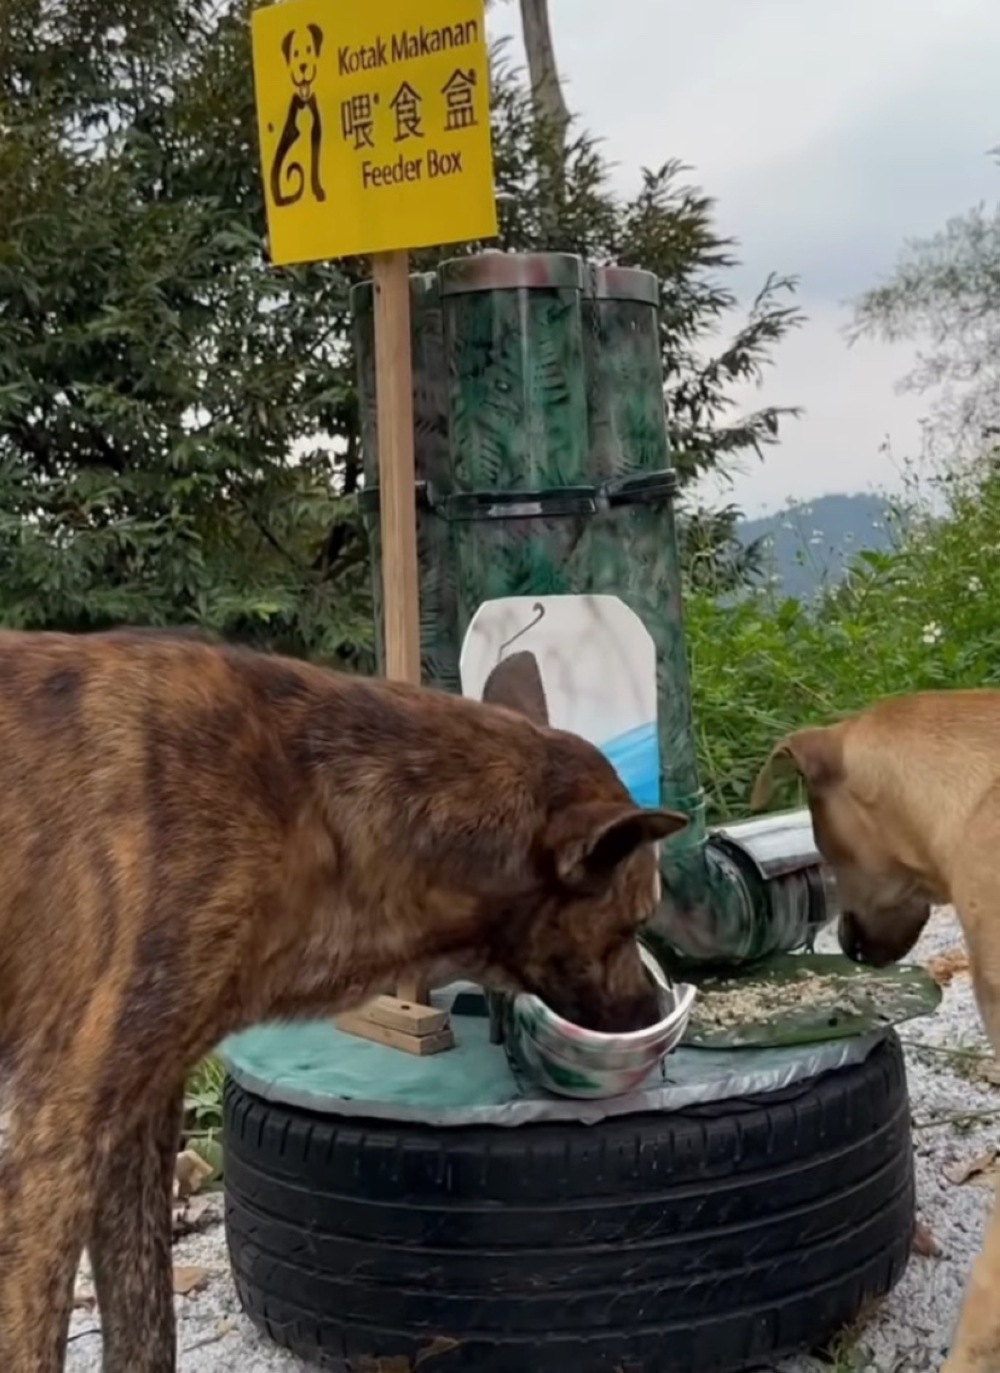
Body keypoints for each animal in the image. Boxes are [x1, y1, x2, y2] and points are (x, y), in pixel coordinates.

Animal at [0, 628, 684, 1367]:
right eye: (634, 923)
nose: (654, 1016)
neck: (309, 806)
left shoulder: (139, 1118)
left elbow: (146, 1328)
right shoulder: (55, 1140)